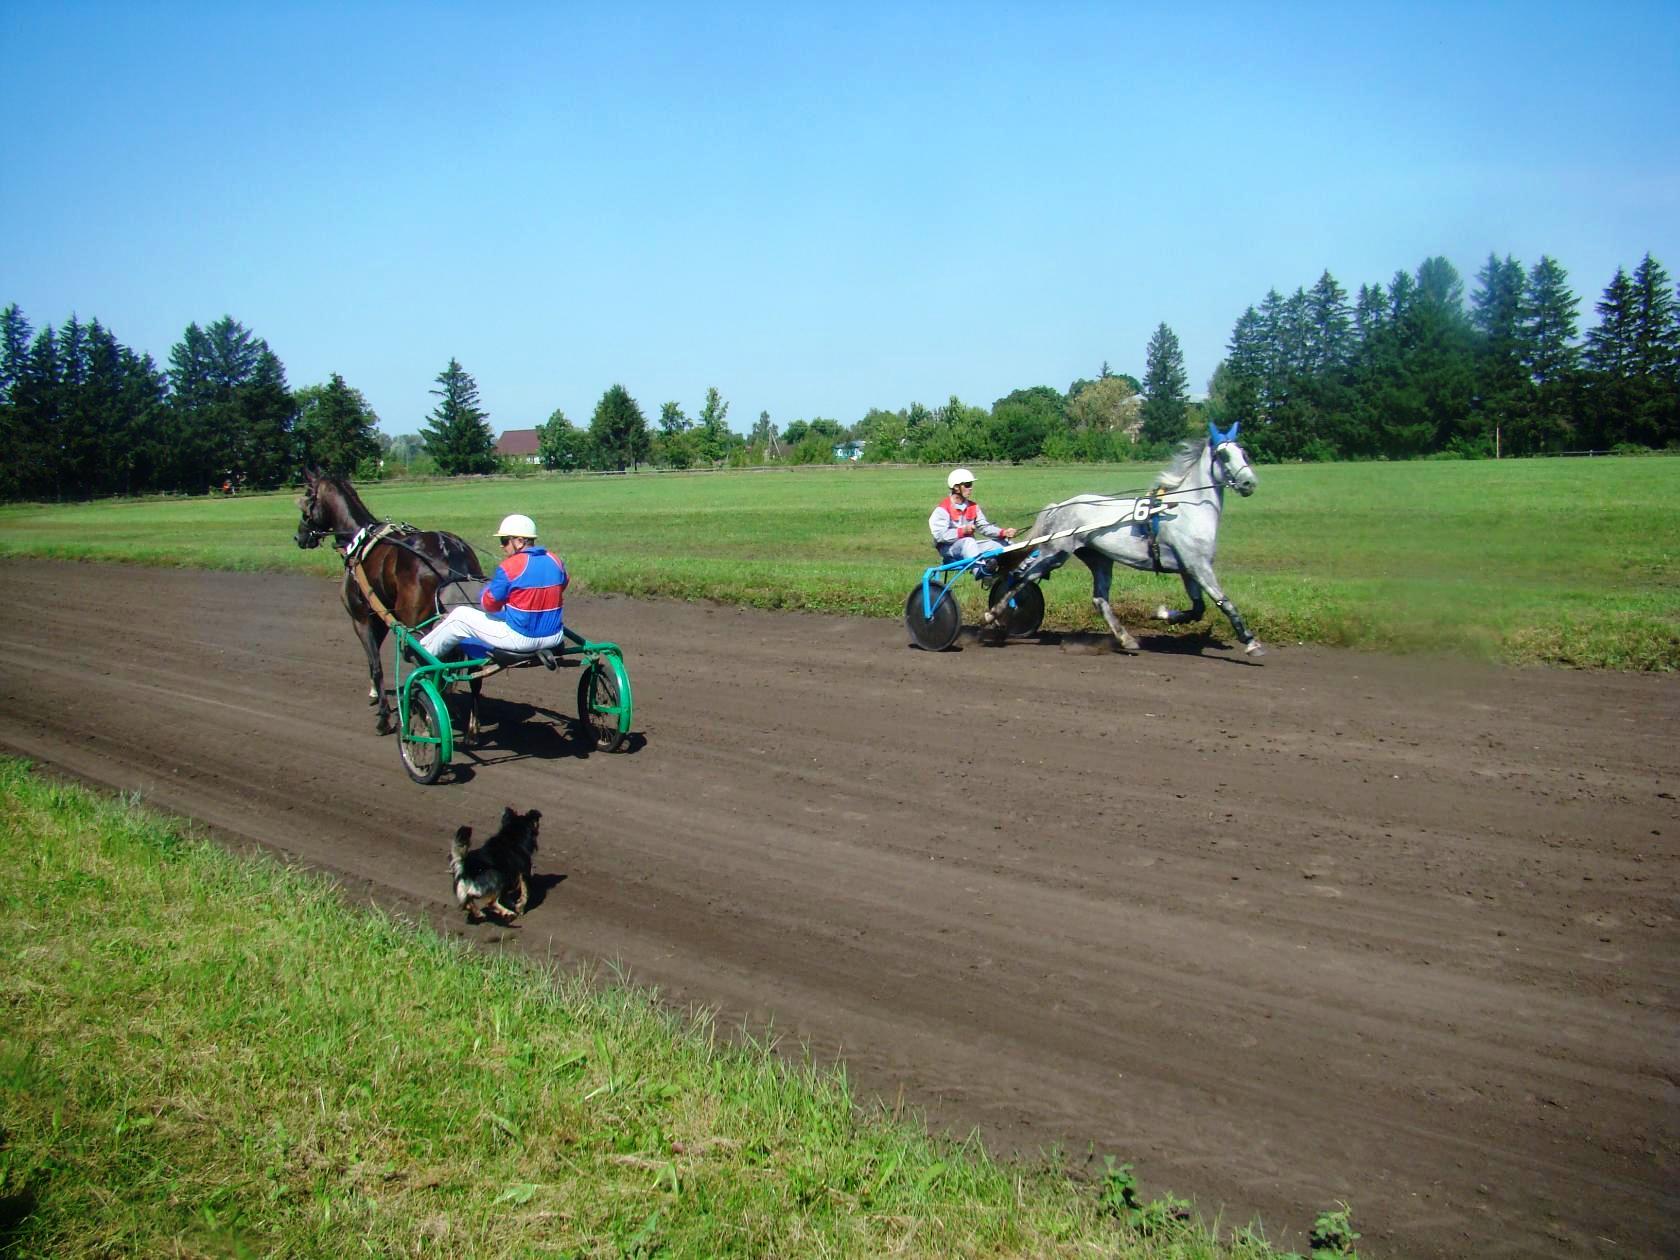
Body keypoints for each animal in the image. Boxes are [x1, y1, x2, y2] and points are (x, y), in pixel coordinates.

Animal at [295, 470, 487, 735]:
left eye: (306, 499)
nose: (299, 536)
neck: (359, 540)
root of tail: (449, 549)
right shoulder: (381, 619)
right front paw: (375, 694)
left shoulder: (361, 619)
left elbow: (375, 665)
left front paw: (384, 717)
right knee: (474, 673)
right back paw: (471, 728)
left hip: (418, 627)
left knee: (430, 667)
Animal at [981, 426, 1263, 661]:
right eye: (1224, 455)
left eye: (1243, 452)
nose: (1249, 483)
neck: (1184, 509)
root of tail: (1061, 505)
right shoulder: (1198, 565)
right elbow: (1225, 603)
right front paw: (1251, 643)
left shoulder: (1189, 568)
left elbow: (1199, 608)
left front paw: (1162, 614)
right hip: (1055, 551)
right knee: (1021, 578)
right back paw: (993, 614)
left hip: (1097, 558)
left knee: (1098, 599)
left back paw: (1126, 638)